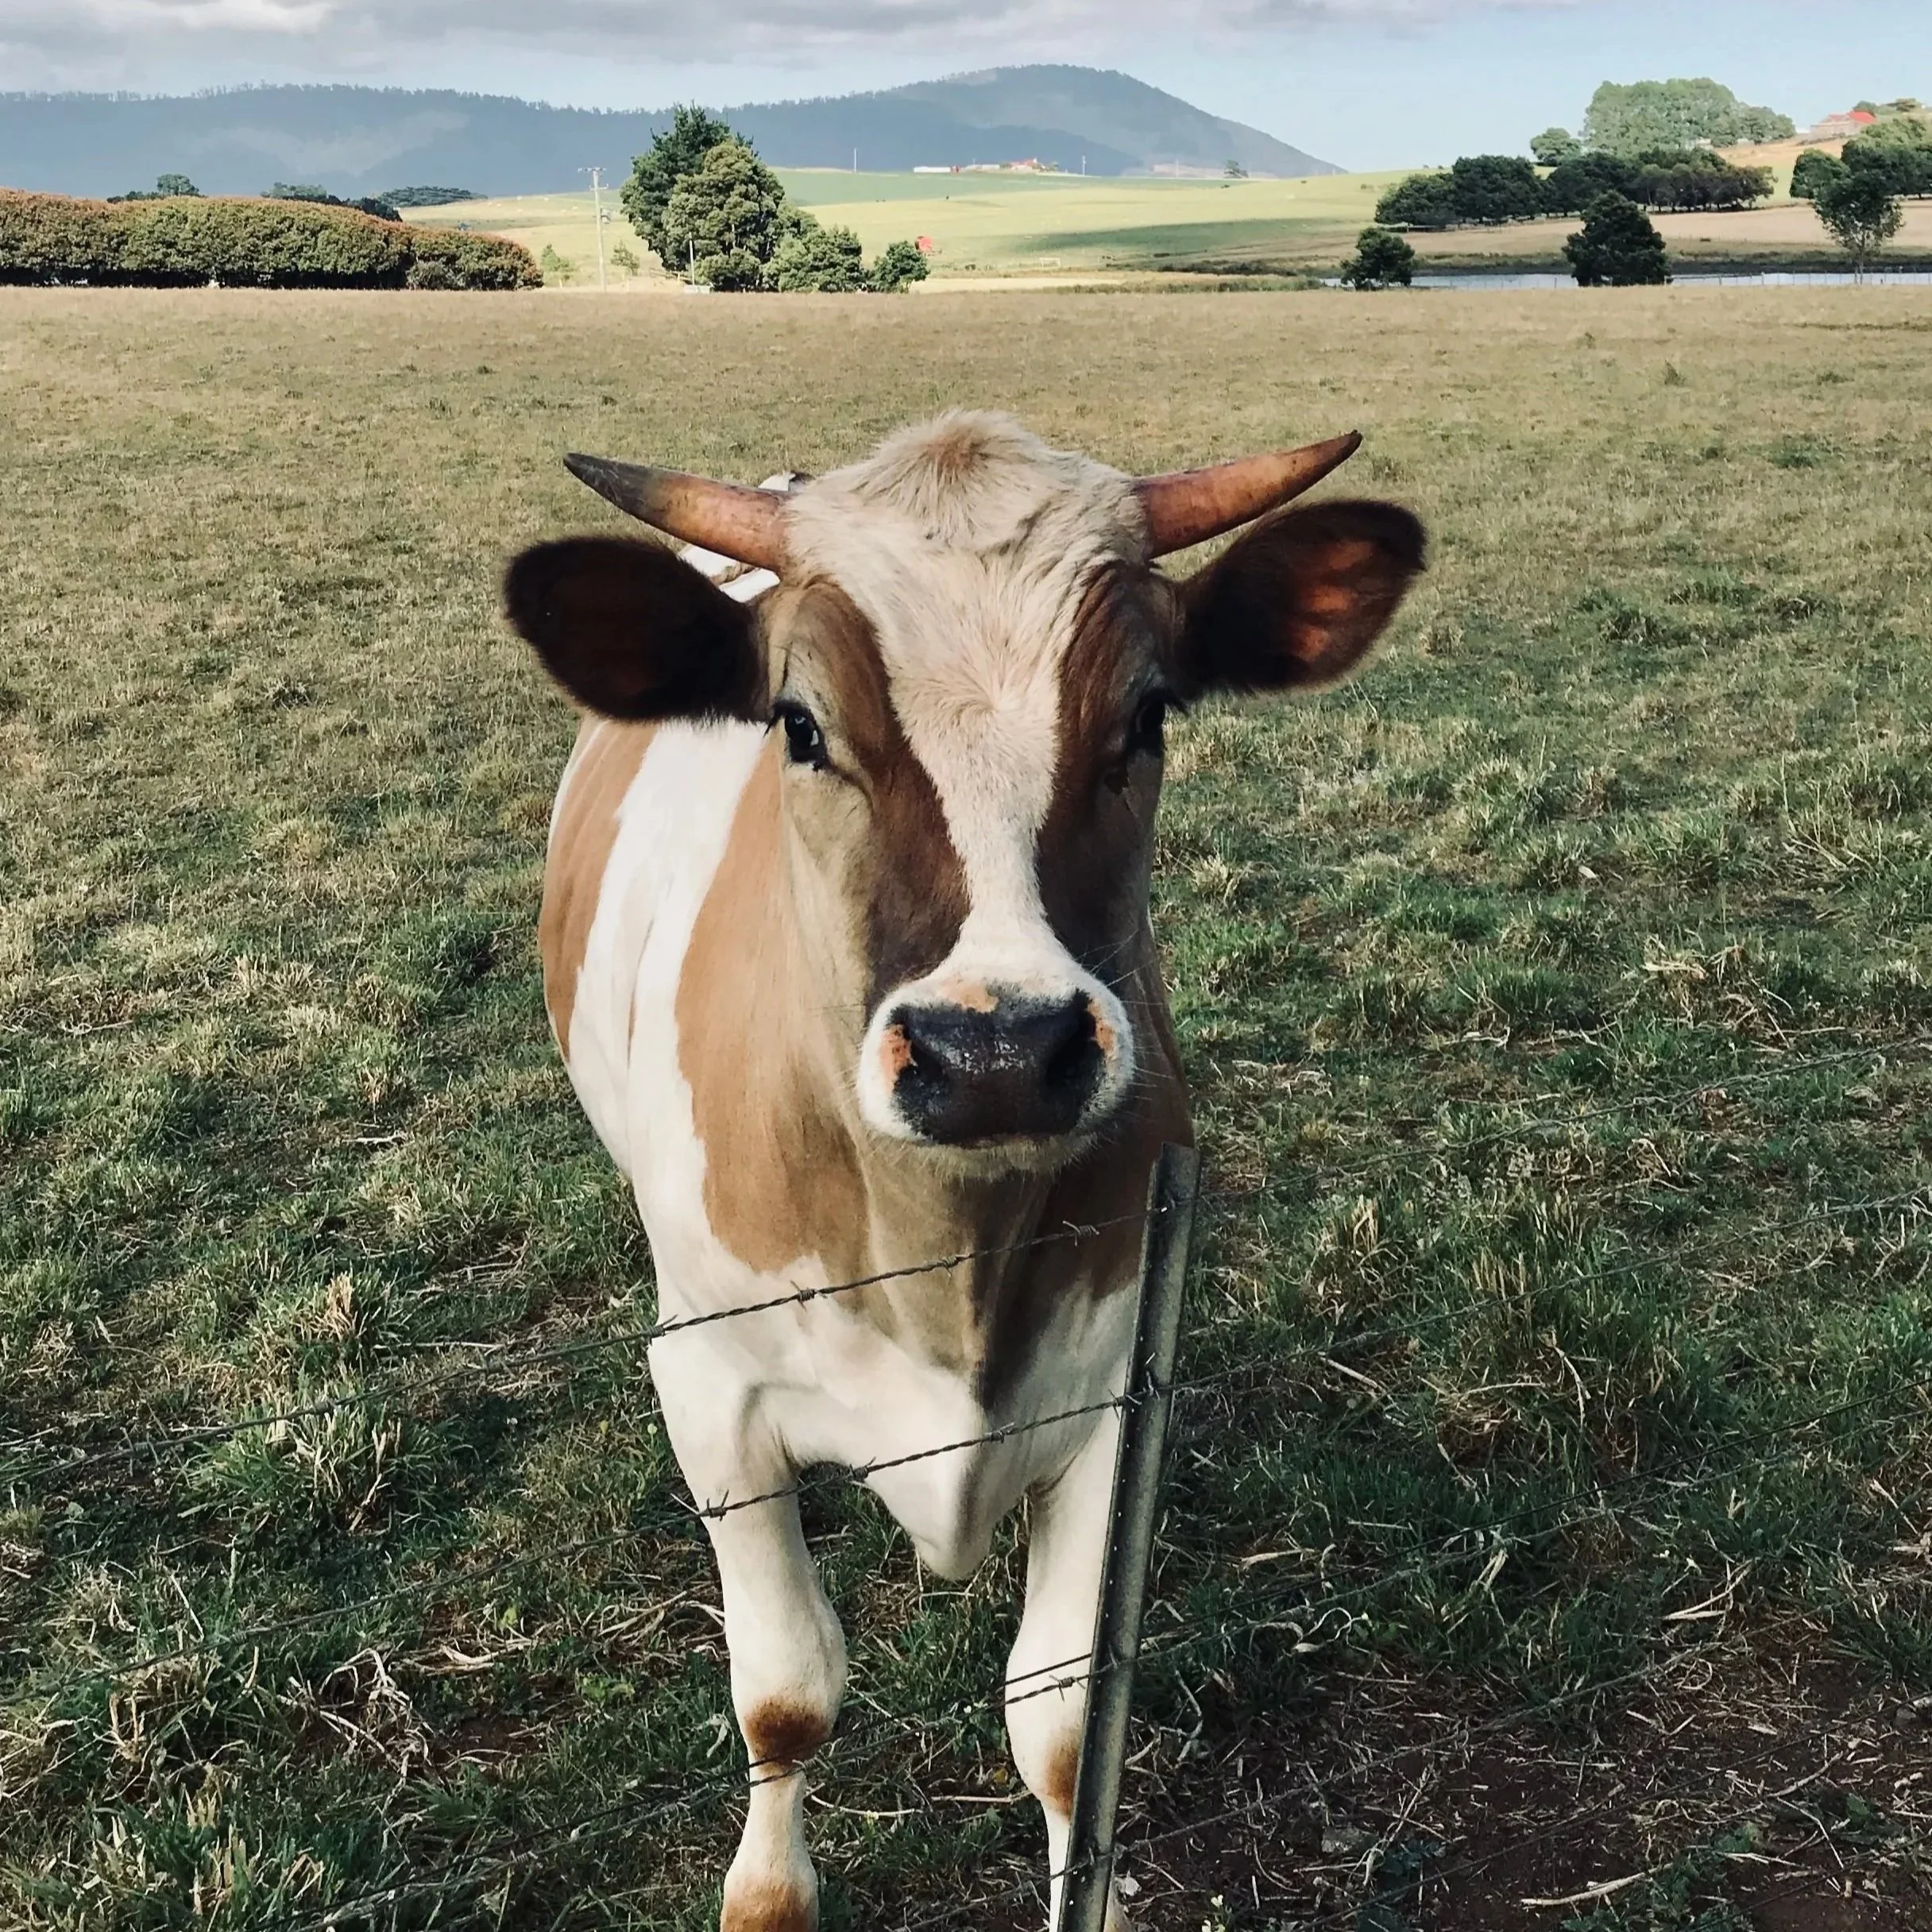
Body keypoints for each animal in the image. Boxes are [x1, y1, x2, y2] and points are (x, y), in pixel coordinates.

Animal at [503, 412, 1424, 1932]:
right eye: (799, 725)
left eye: (1148, 717)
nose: (993, 1052)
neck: (946, 1267)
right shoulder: (707, 1388)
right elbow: (786, 1697)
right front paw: (766, 1888)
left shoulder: (1114, 1390)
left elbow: (1063, 1720)